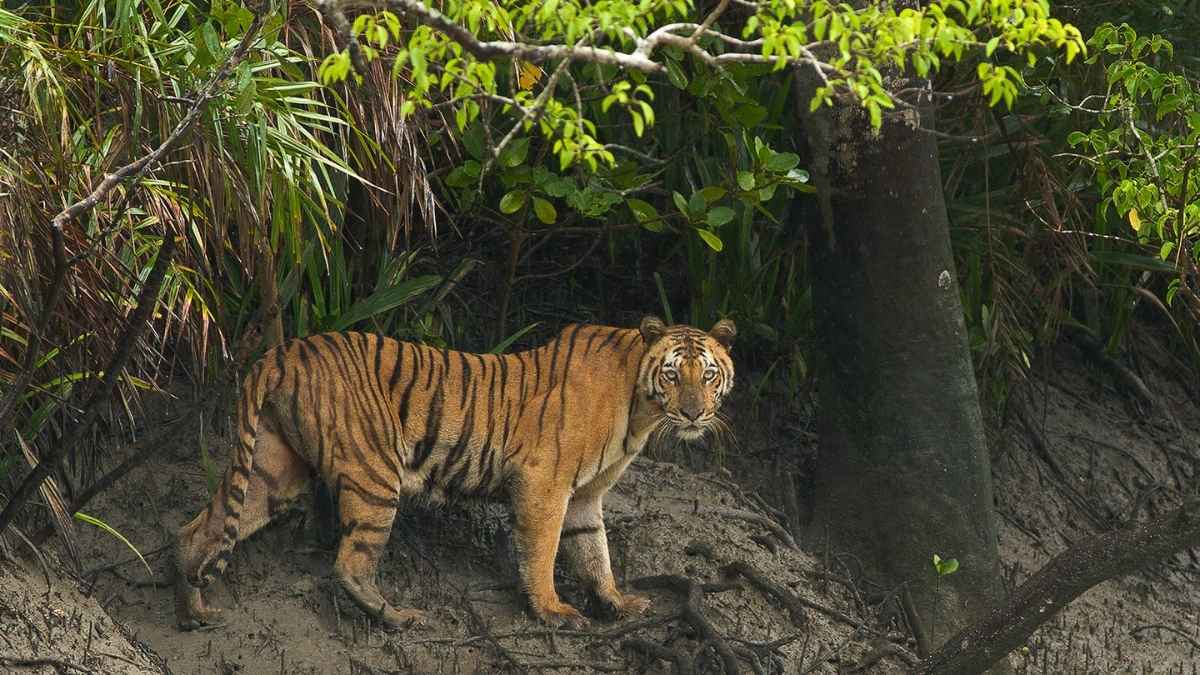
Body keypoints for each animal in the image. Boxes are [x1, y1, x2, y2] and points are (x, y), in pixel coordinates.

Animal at [174, 315, 736, 630]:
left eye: (709, 375)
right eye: (673, 374)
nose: (694, 414)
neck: (641, 408)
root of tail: (285, 350)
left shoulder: (584, 497)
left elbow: (594, 550)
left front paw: (617, 602)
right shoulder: (545, 482)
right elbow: (543, 550)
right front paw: (552, 611)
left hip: (273, 469)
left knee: (198, 530)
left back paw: (192, 610)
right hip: (376, 473)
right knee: (350, 563)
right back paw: (396, 617)